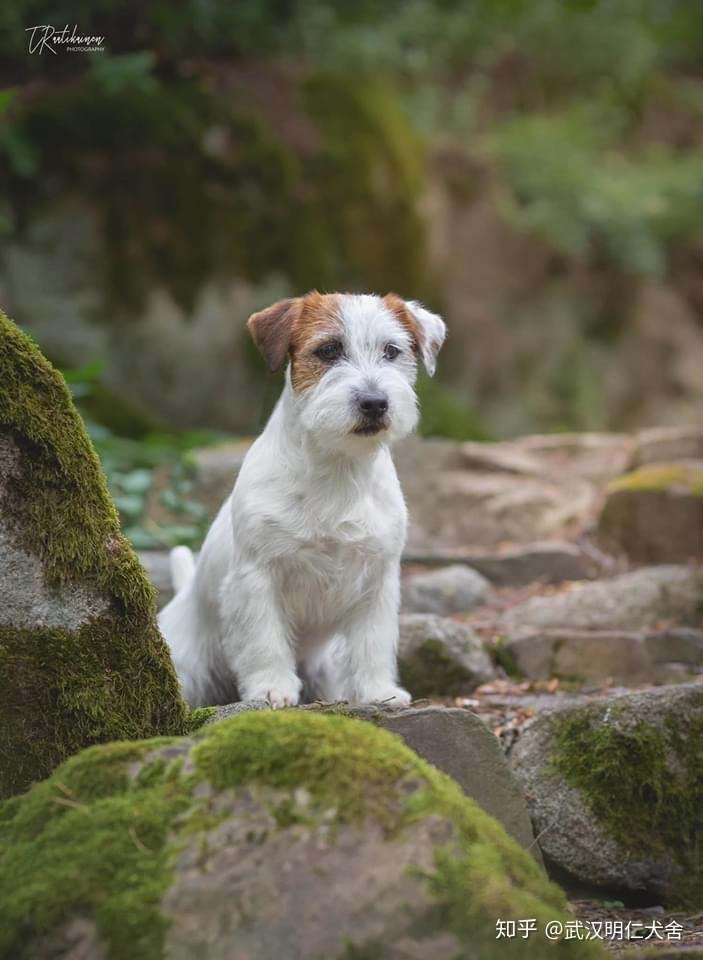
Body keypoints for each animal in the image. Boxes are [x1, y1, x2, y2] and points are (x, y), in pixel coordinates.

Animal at [159, 288, 446, 708]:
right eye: (328, 350)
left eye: (392, 350)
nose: (375, 402)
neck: (338, 470)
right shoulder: (257, 577)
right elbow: (264, 640)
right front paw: (271, 688)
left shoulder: (377, 580)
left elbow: (373, 642)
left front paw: (378, 691)